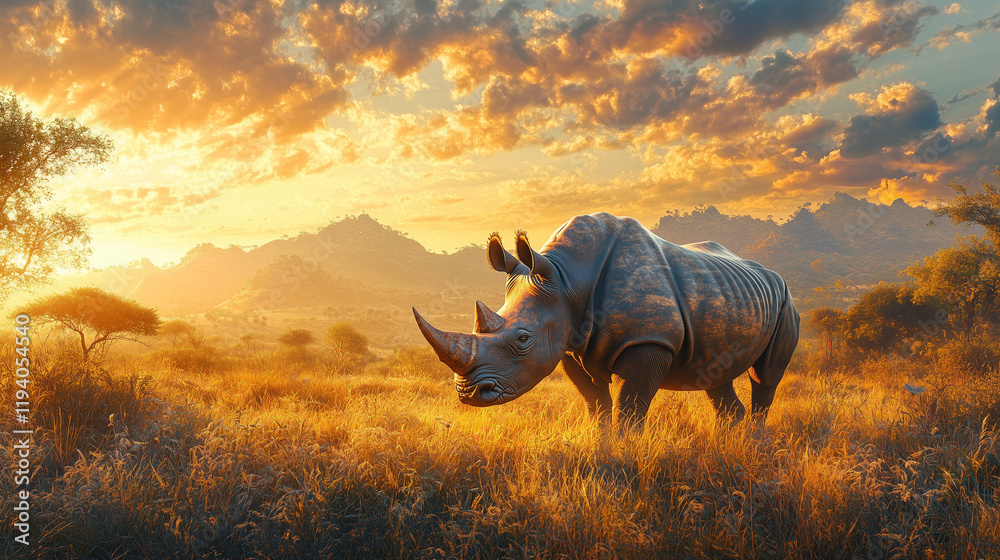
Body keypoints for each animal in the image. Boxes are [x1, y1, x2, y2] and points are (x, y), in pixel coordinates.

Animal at [412, 213, 799, 431]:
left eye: (523, 339)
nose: (469, 394)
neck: (567, 279)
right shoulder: (570, 344)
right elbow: (596, 407)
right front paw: (603, 457)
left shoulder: (650, 339)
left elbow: (630, 411)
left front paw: (626, 462)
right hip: (729, 296)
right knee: (716, 378)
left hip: (785, 300)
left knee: (765, 377)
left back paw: (753, 447)